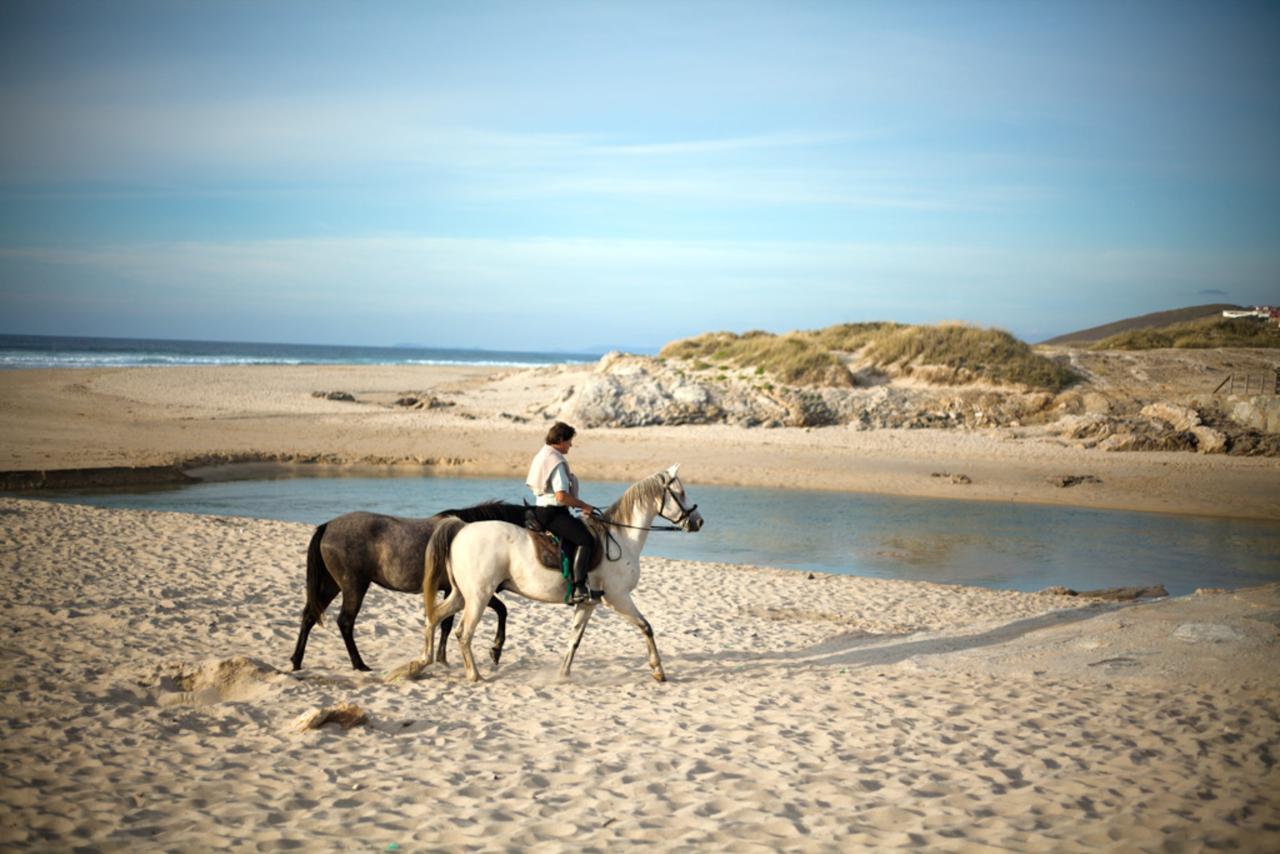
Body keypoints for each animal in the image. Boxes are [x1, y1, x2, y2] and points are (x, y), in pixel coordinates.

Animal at [290, 501, 524, 676]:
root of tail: (328, 526)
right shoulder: (470, 592)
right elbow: (499, 610)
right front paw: (495, 650)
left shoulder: (453, 592)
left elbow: (445, 624)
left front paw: (443, 659)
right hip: (353, 586)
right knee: (345, 622)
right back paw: (359, 664)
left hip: (332, 585)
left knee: (309, 616)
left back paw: (296, 661)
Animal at [422, 463, 706, 686]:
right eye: (680, 492)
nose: (698, 521)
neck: (622, 537)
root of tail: (461, 530)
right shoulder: (618, 598)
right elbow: (646, 627)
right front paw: (658, 670)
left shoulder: (589, 603)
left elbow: (574, 640)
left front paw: (563, 674)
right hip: (479, 597)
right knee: (463, 633)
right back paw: (474, 675)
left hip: (463, 595)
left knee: (435, 617)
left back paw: (423, 661)